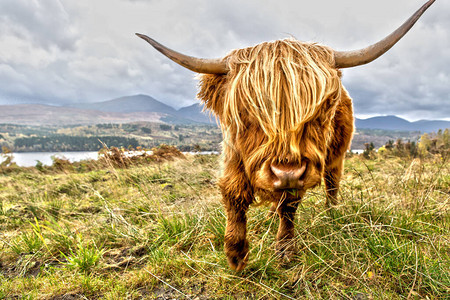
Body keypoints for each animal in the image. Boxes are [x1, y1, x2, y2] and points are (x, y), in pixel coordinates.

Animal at [137, 0, 436, 272]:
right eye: (245, 110)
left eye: (323, 106)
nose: (287, 173)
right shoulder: (232, 157)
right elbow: (233, 195)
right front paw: (235, 254)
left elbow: (289, 206)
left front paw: (284, 249)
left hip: (336, 157)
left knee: (332, 184)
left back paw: (330, 214)